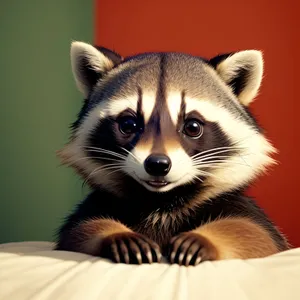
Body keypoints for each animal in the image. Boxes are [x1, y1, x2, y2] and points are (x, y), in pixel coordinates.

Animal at [55, 41, 290, 264]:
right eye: (129, 124)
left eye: (192, 127)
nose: (157, 164)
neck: (161, 203)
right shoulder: (94, 208)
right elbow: (80, 232)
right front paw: (115, 234)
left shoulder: (244, 210)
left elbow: (254, 233)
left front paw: (206, 238)